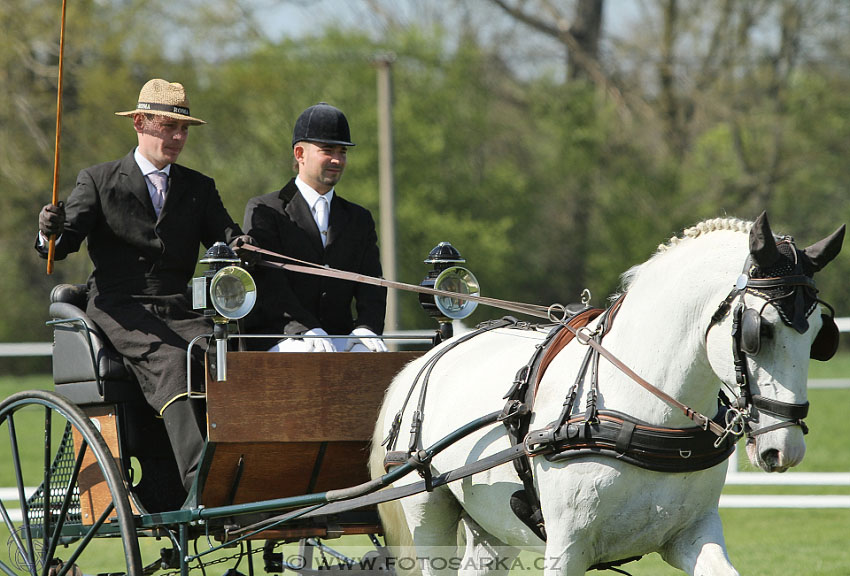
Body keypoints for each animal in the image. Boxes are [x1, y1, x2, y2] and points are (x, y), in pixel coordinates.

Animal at [370, 214, 840, 572]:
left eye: (820, 334)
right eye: (760, 332)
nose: (785, 448)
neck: (642, 408)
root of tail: (428, 357)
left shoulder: (691, 534)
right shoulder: (566, 549)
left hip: (493, 529)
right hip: (428, 517)